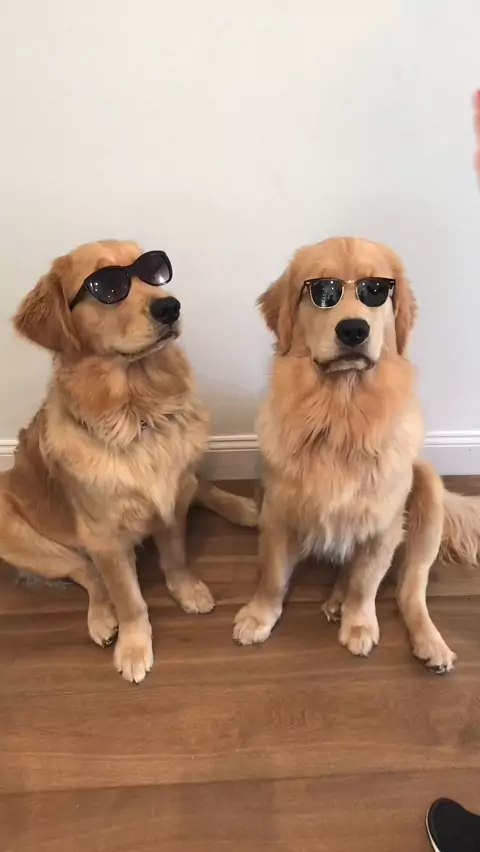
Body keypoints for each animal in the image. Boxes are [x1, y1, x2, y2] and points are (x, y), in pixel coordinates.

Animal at [2, 239, 257, 682]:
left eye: (155, 272)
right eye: (107, 287)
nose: (170, 306)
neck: (139, 415)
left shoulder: (169, 497)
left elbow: (176, 556)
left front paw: (186, 589)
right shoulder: (105, 537)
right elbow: (129, 598)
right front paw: (135, 646)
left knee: (202, 487)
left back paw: (244, 508)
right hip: (15, 529)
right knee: (86, 573)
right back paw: (101, 617)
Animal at [234, 236, 480, 673]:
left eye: (375, 291)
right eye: (323, 292)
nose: (352, 329)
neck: (340, 416)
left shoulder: (384, 525)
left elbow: (367, 582)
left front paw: (360, 623)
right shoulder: (277, 512)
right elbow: (273, 576)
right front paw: (259, 616)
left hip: (427, 490)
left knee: (408, 590)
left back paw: (430, 644)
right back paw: (336, 599)